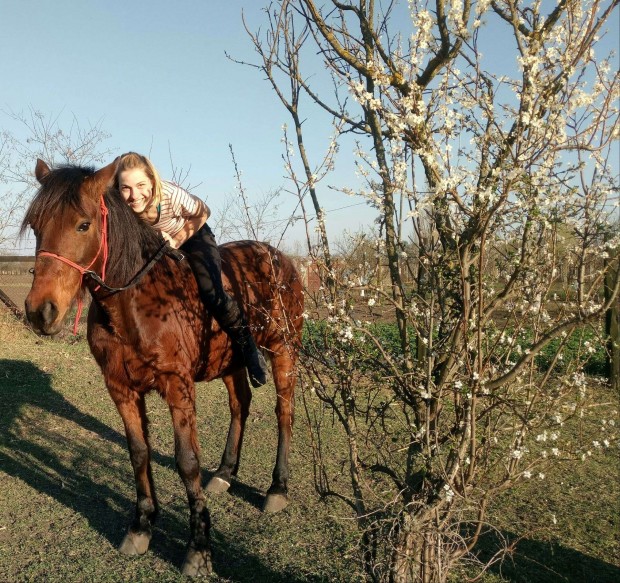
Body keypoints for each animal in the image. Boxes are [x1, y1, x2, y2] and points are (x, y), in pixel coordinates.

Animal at [23, 159, 304, 576]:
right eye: (36, 225)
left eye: (83, 225)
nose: (40, 312)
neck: (132, 304)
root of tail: (281, 258)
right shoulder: (120, 388)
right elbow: (138, 452)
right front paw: (141, 526)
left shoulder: (177, 386)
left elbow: (187, 462)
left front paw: (198, 548)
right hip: (231, 362)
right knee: (241, 405)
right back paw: (224, 474)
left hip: (284, 349)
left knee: (284, 411)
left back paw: (277, 488)